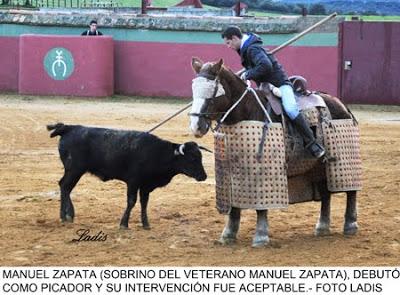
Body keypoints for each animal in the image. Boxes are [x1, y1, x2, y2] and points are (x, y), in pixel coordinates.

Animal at [189, 57, 358, 247]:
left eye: (212, 92)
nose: (196, 126)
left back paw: (350, 225)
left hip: (345, 160)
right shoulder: (230, 172)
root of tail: (342, 104)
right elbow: (234, 206)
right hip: (318, 167)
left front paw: (261, 236)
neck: (247, 110)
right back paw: (322, 227)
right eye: (194, 90)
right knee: (325, 192)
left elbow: (261, 207)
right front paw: (228, 234)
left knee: (351, 191)